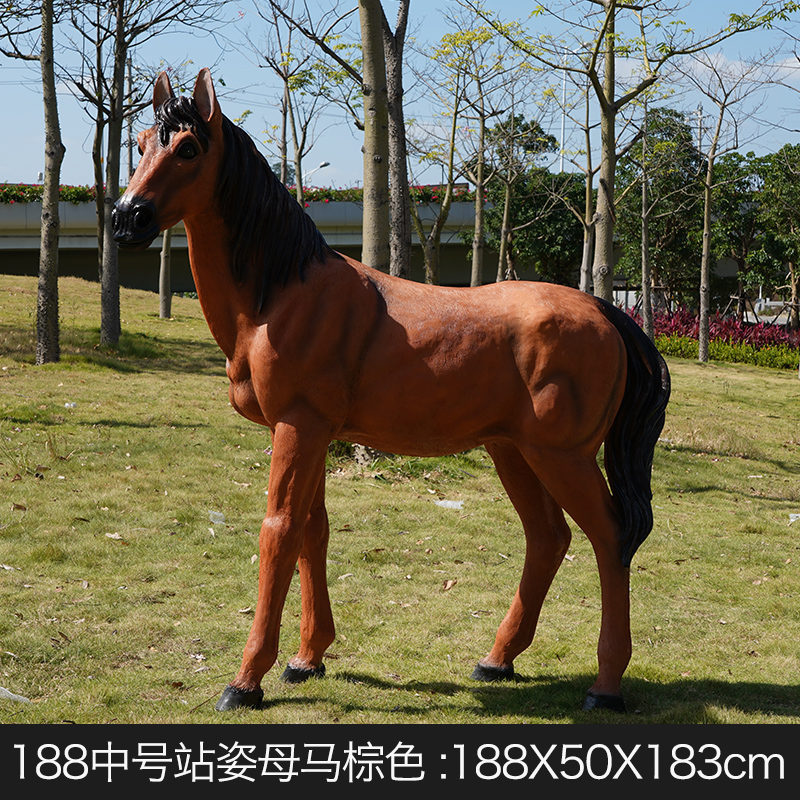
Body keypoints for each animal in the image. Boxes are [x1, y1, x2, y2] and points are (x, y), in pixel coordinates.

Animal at [113, 68, 670, 714]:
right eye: (142, 140)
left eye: (188, 149)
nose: (126, 218)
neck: (283, 295)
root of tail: (604, 312)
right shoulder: (314, 433)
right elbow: (313, 531)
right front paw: (307, 659)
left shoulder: (298, 427)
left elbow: (279, 531)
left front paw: (246, 680)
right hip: (513, 451)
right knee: (548, 538)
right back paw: (497, 660)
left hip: (563, 457)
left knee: (610, 536)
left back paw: (605, 685)